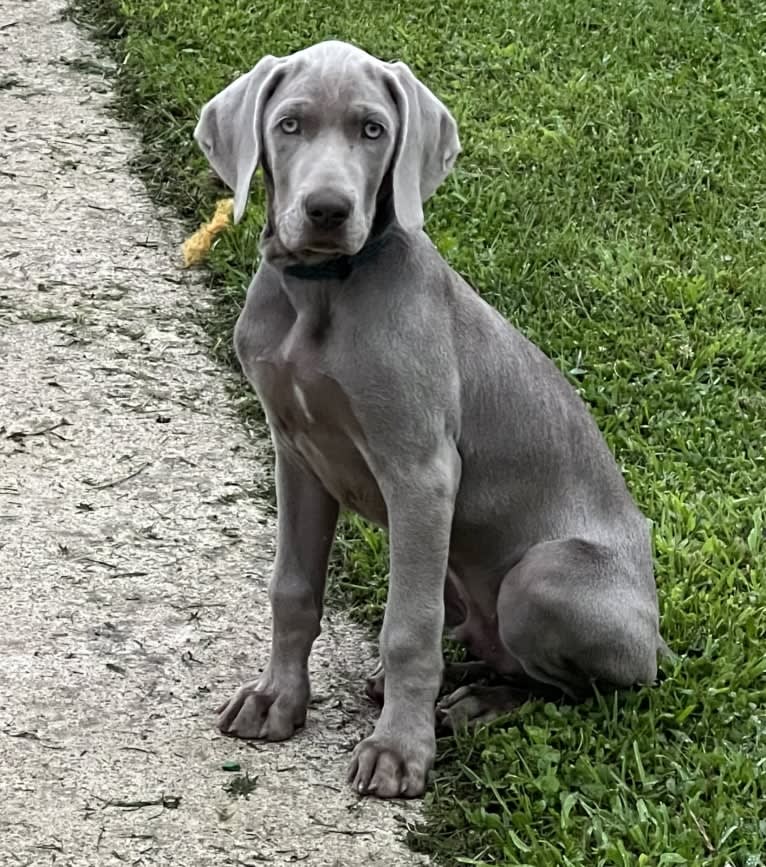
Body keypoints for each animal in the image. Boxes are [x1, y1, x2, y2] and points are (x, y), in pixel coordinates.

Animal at [195, 39, 668, 800]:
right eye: (290, 124)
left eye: (372, 130)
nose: (327, 210)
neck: (321, 294)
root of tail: (658, 642)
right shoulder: (295, 454)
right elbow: (292, 588)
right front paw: (277, 699)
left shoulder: (421, 474)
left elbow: (409, 628)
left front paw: (398, 751)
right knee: (479, 641)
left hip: (542, 577)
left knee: (574, 686)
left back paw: (473, 703)